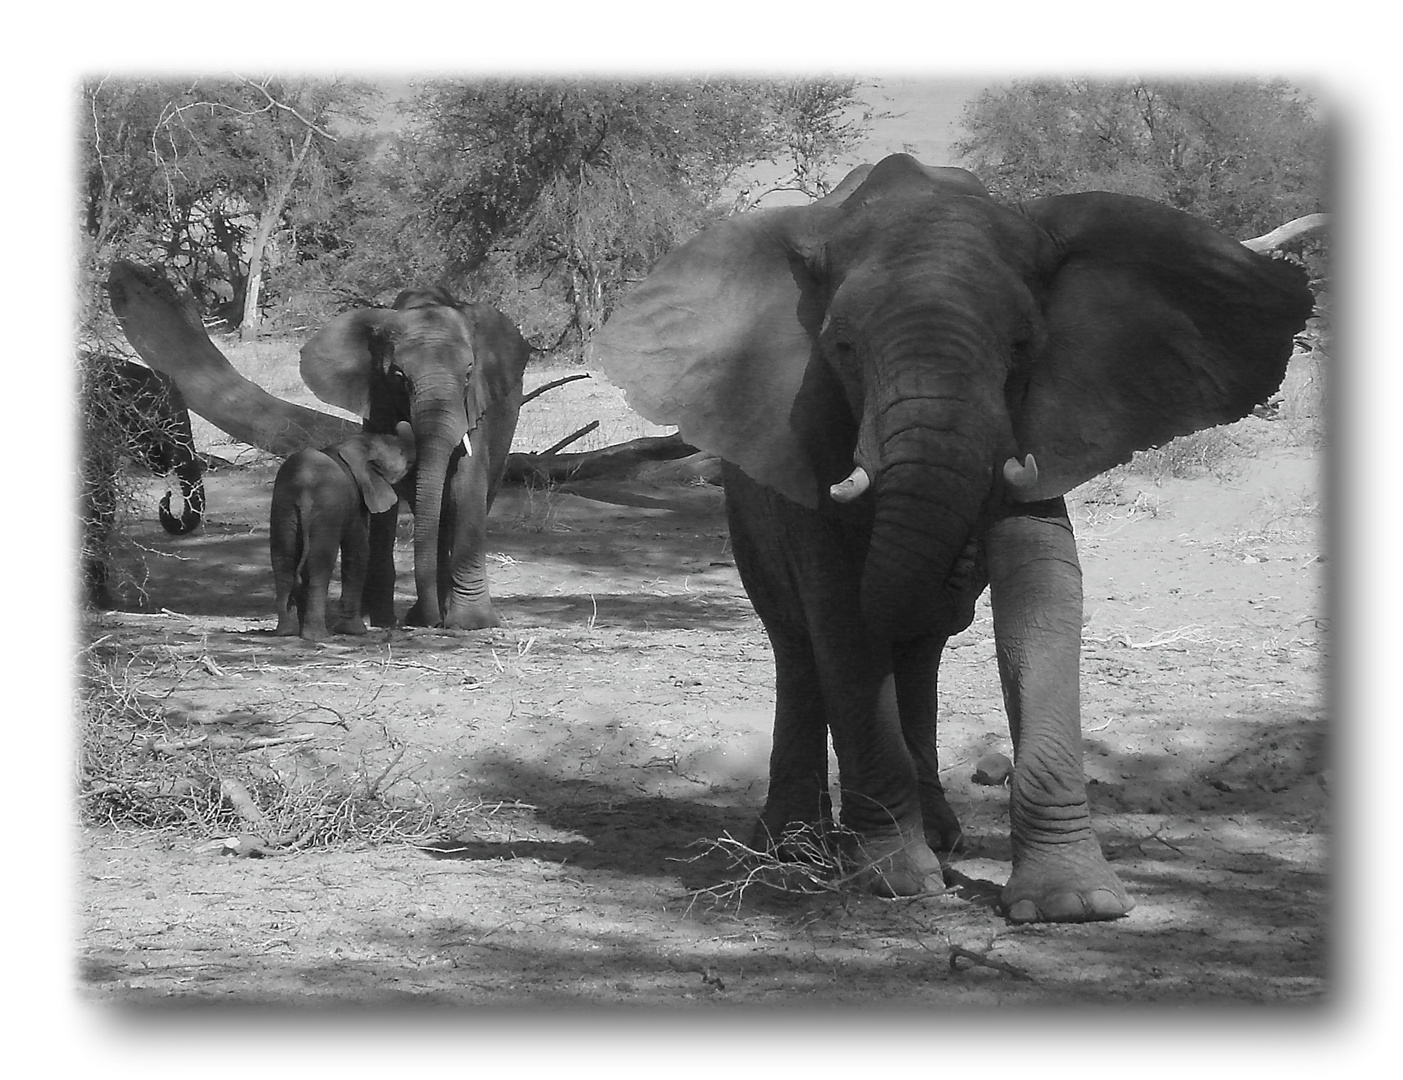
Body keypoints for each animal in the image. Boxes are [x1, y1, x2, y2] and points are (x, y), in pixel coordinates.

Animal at [266, 420, 409, 639]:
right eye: (401, 454)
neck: (351, 445)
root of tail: (303, 492)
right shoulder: (357, 499)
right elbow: (359, 551)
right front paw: (356, 631)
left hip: (284, 508)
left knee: (284, 558)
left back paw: (286, 632)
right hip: (327, 510)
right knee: (319, 563)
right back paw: (317, 636)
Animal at [300, 286, 530, 631]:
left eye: (468, 374)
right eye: (399, 377)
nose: (431, 623)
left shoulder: (475, 407)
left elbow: (466, 486)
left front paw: (471, 623)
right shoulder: (377, 400)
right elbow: (385, 497)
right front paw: (383, 619)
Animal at [600, 155, 1313, 920]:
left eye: (1023, 345)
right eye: (841, 348)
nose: (960, 563)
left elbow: (1043, 591)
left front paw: (1073, 903)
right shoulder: (805, 434)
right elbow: (841, 617)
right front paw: (895, 882)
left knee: (916, 653)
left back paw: (935, 836)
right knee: (797, 645)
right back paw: (795, 849)